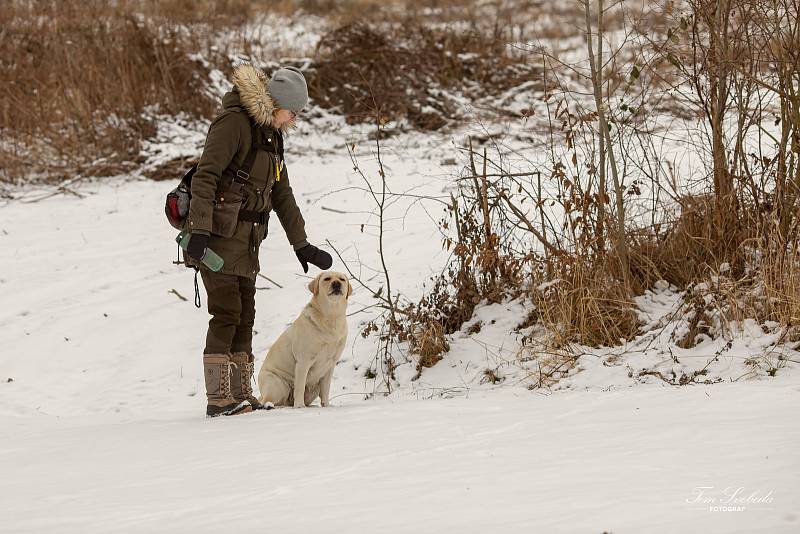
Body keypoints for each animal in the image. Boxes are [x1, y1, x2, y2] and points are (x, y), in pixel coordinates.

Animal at [256, 272, 350, 410]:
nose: (336, 283)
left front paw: (326, 405)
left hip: (314, 388)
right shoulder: (303, 362)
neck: (331, 317)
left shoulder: (330, 364)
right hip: (278, 384)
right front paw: (300, 406)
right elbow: (300, 387)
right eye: (327, 279)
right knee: (265, 401)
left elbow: (326, 389)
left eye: (342, 279)